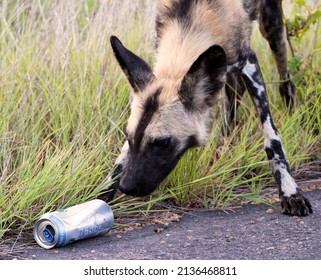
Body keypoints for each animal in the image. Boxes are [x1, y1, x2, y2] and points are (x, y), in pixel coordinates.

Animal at [102, 0, 310, 217]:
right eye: (128, 136)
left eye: (162, 143)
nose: (126, 186)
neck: (189, 21)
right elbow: (121, 158)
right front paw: (101, 195)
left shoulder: (249, 63)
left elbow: (272, 140)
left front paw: (290, 193)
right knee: (234, 94)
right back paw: (226, 144)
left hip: (272, 29)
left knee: (285, 79)